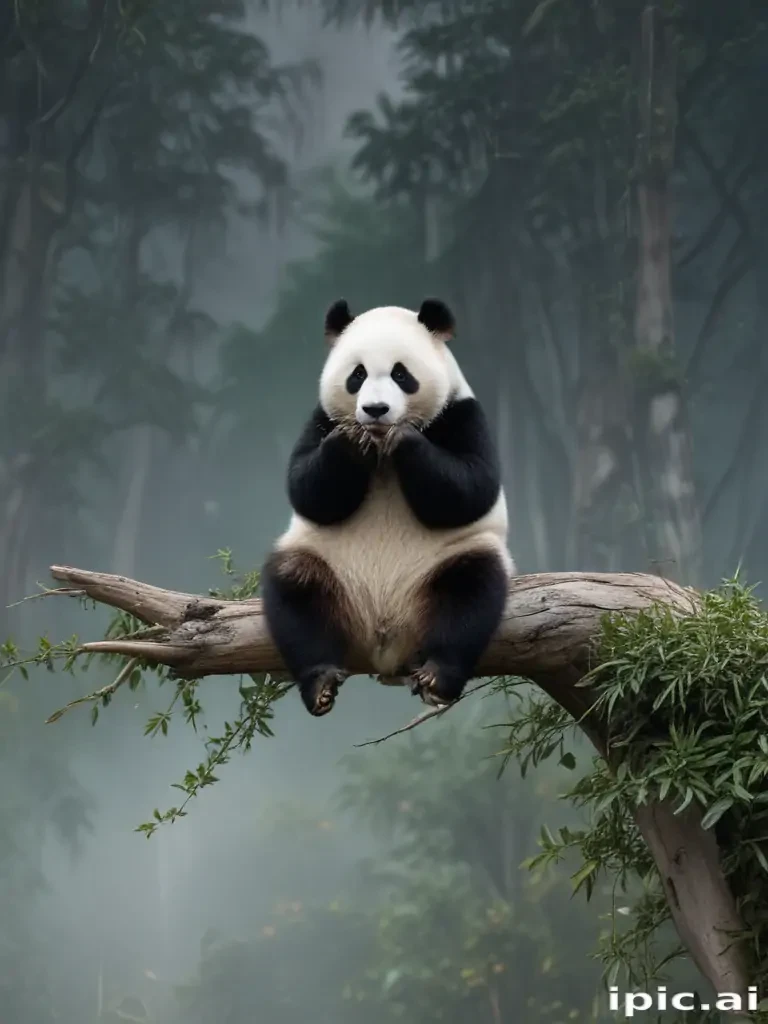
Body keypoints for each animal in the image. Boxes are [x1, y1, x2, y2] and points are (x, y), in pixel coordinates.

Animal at [261, 297, 514, 717]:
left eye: (400, 374)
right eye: (357, 374)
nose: (376, 410)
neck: (379, 449)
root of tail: (383, 640)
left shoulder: (461, 413)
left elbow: (472, 487)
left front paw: (404, 438)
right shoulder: (321, 417)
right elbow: (305, 487)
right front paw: (349, 441)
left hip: (449, 559)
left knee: (471, 593)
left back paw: (438, 675)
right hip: (326, 562)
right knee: (295, 591)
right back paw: (320, 680)